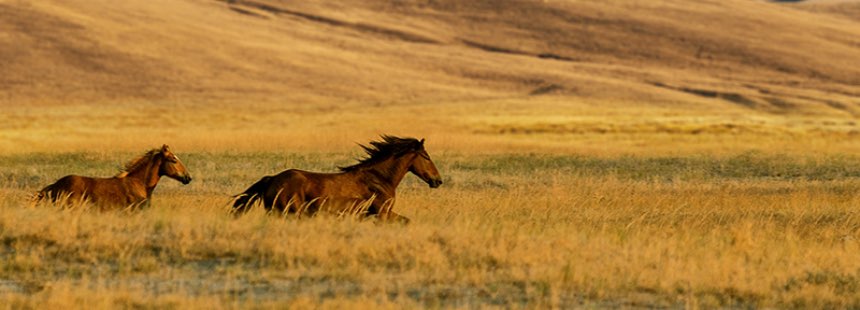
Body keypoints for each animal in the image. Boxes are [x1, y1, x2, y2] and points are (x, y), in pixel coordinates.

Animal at [233, 136, 444, 223]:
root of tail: (272, 179)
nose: (438, 180)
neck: (378, 179)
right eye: (426, 157)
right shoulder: (382, 213)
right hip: (290, 212)